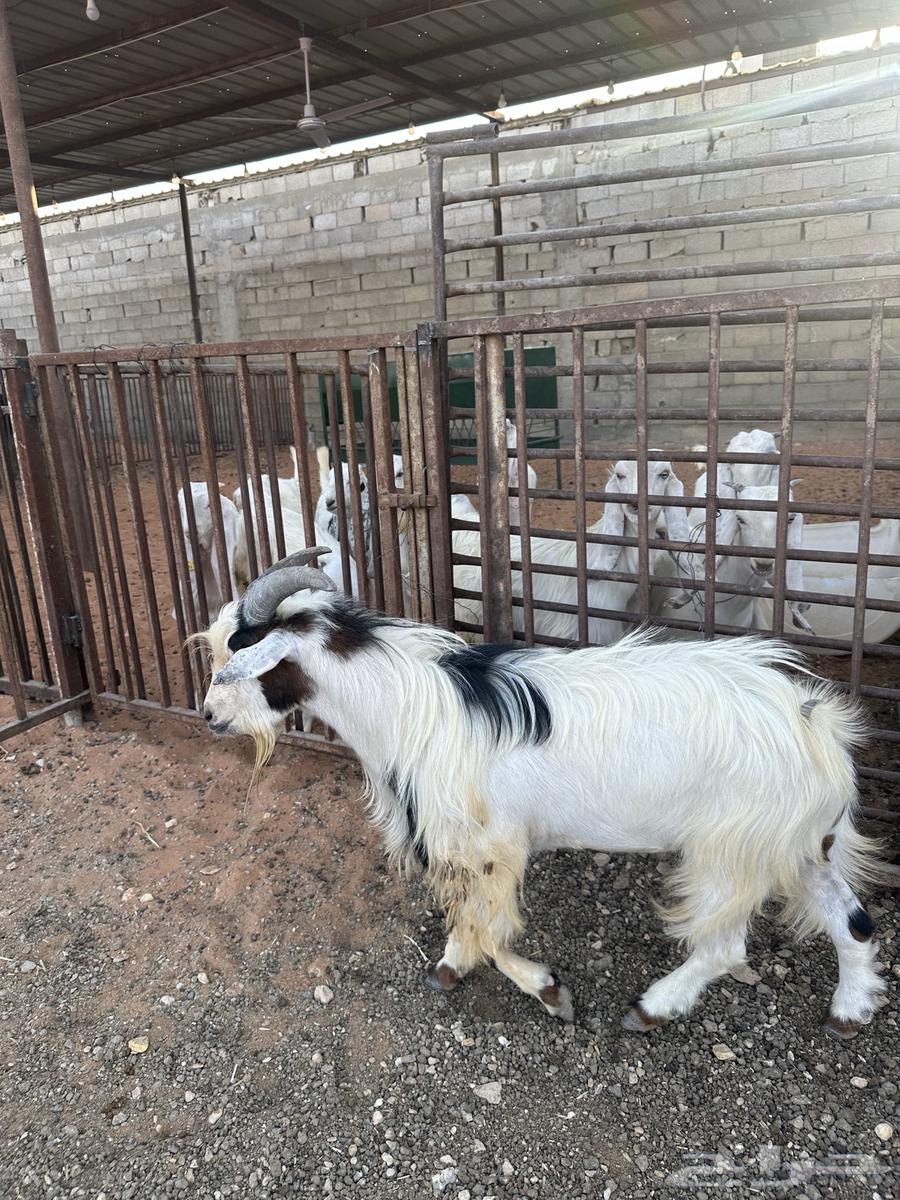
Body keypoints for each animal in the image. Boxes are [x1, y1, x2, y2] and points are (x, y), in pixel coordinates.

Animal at [199, 554, 884, 1039]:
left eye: (243, 652)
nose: (208, 715)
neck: (409, 706)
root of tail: (819, 730)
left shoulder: (492, 842)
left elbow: (491, 929)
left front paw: (551, 992)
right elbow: (467, 916)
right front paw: (450, 967)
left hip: (731, 847)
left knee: (724, 946)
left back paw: (650, 1008)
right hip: (800, 843)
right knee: (853, 921)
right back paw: (848, 1012)